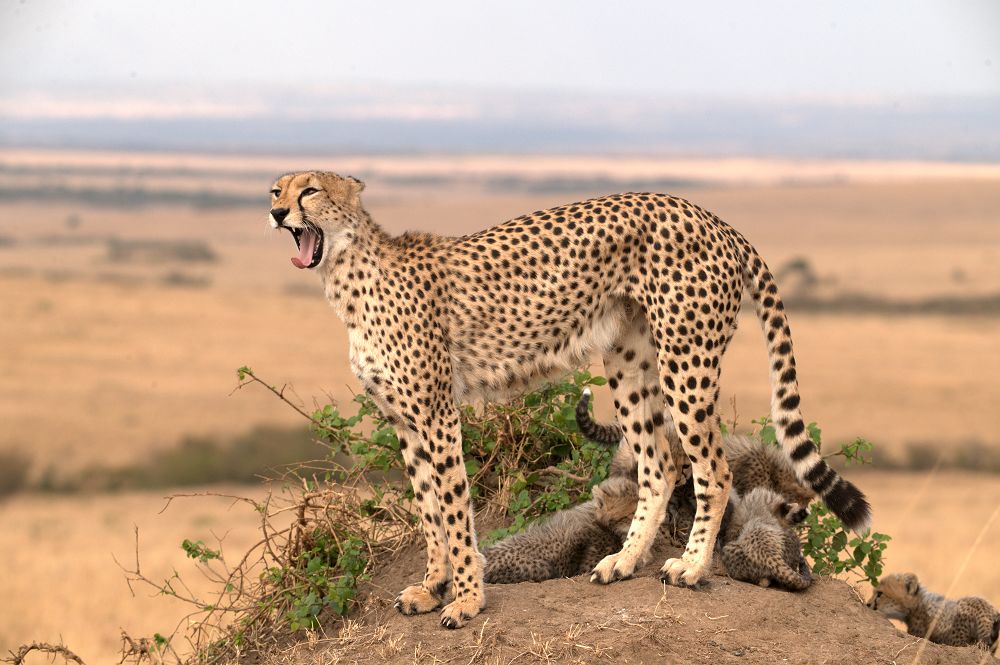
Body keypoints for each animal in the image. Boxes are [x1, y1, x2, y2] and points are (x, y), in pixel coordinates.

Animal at [266, 171, 868, 628]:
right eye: (276, 189)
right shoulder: (406, 421)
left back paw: (692, 567)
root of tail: (713, 217)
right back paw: (623, 561)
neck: (347, 276)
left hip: (687, 360)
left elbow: (455, 511)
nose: (275, 212)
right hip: (628, 362)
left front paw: (466, 600)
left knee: (712, 469)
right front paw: (430, 586)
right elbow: (429, 511)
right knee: (658, 464)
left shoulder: (437, 414)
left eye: (310, 190)